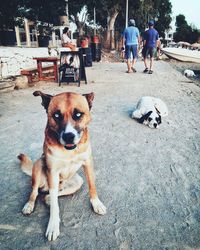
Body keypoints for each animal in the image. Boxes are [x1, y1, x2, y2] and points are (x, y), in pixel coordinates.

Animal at [18, 90, 107, 240]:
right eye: (56, 115)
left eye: (78, 114)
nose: (68, 137)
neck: (69, 151)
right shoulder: (52, 172)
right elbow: (55, 206)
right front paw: (53, 225)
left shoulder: (88, 163)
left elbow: (92, 185)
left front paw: (96, 203)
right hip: (39, 166)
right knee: (35, 191)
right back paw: (29, 205)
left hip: (77, 181)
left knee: (50, 195)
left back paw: (48, 198)